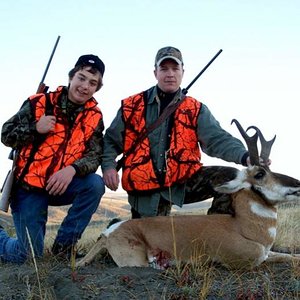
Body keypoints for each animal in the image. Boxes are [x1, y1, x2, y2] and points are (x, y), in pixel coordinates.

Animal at [77, 119, 300, 270]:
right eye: (260, 174)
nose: (297, 184)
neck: (242, 226)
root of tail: (110, 232)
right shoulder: (253, 258)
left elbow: (290, 256)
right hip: (137, 261)